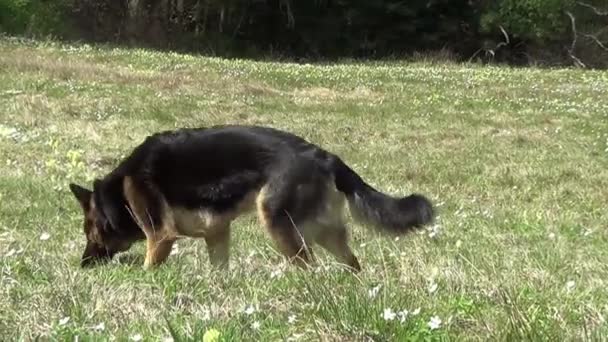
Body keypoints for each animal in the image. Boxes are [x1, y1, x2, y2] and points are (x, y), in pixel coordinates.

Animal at [69, 124, 434, 272]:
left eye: (90, 233)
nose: (82, 266)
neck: (118, 193)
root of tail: (326, 156)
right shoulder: (216, 233)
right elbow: (219, 268)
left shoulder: (161, 235)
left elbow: (148, 266)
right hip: (322, 230)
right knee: (352, 262)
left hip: (278, 221)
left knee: (310, 266)